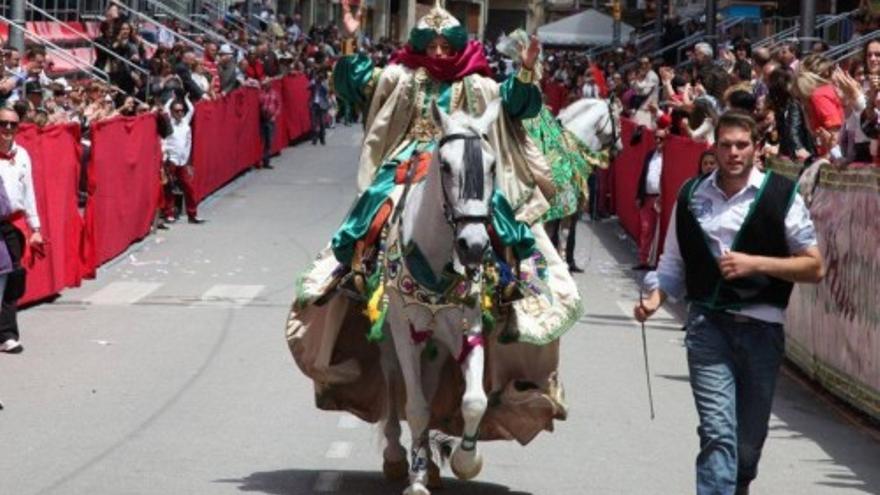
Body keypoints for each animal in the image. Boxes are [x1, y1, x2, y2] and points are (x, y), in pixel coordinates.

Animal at [378, 98, 502, 495]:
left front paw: (466, 461)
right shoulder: (405, 331)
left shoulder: (467, 327)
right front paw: (416, 480)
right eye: (445, 165)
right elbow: (415, 407)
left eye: (492, 165)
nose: (473, 245)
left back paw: (430, 465)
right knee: (392, 385)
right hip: (391, 337)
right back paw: (398, 457)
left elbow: (474, 401)